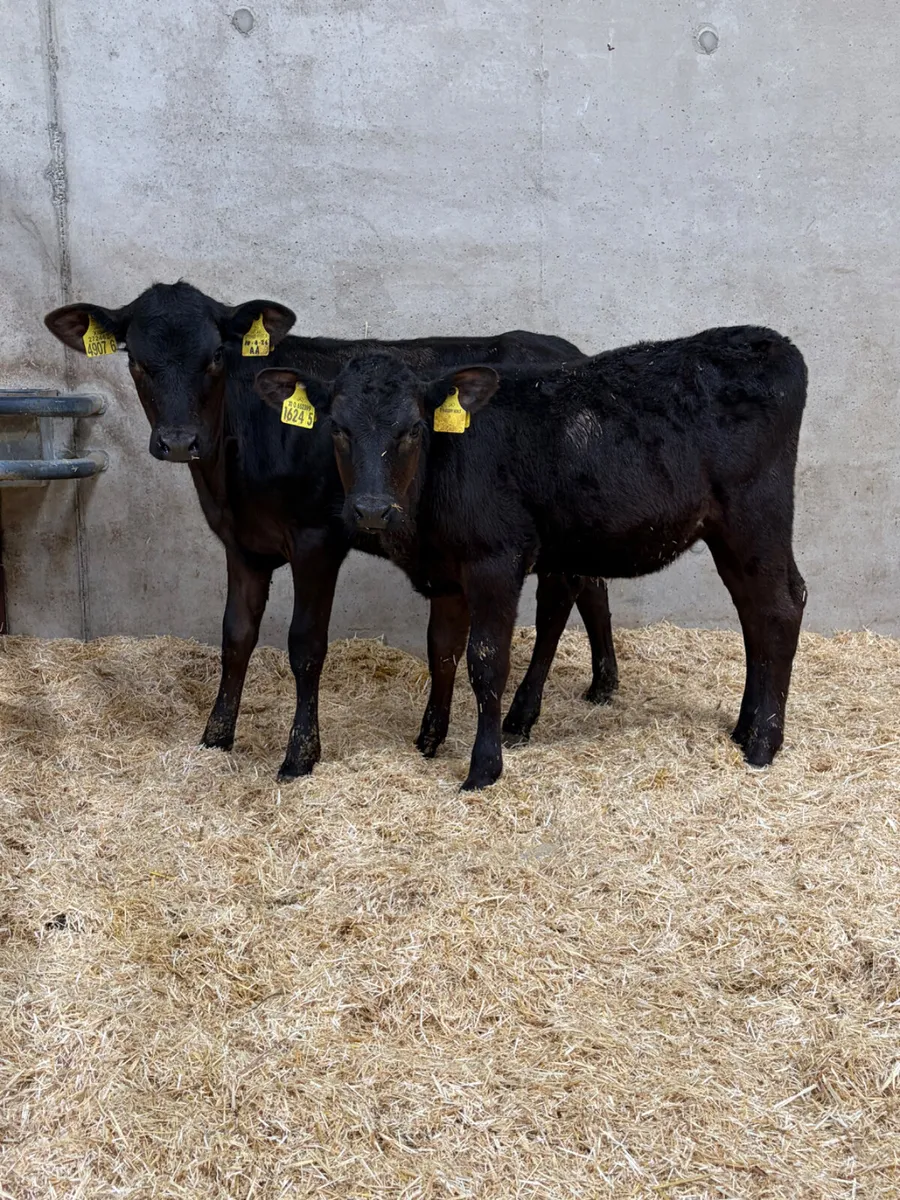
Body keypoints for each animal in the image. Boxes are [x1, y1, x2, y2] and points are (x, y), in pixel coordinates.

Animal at [44, 282, 618, 778]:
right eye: (136, 360)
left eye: (215, 357)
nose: (180, 440)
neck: (232, 470)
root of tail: (566, 350)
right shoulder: (242, 543)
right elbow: (236, 635)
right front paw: (216, 736)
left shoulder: (317, 538)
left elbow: (305, 644)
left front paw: (300, 755)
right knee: (591, 586)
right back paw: (603, 685)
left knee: (558, 604)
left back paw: (524, 716)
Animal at [255, 326, 807, 790]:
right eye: (338, 428)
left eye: (412, 428)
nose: (371, 509)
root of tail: (769, 341)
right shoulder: (449, 571)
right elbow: (442, 651)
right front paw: (429, 740)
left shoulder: (494, 561)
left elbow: (486, 660)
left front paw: (483, 768)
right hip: (731, 533)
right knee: (756, 611)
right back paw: (744, 727)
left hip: (755, 514)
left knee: (779, 606)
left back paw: (763, 744)